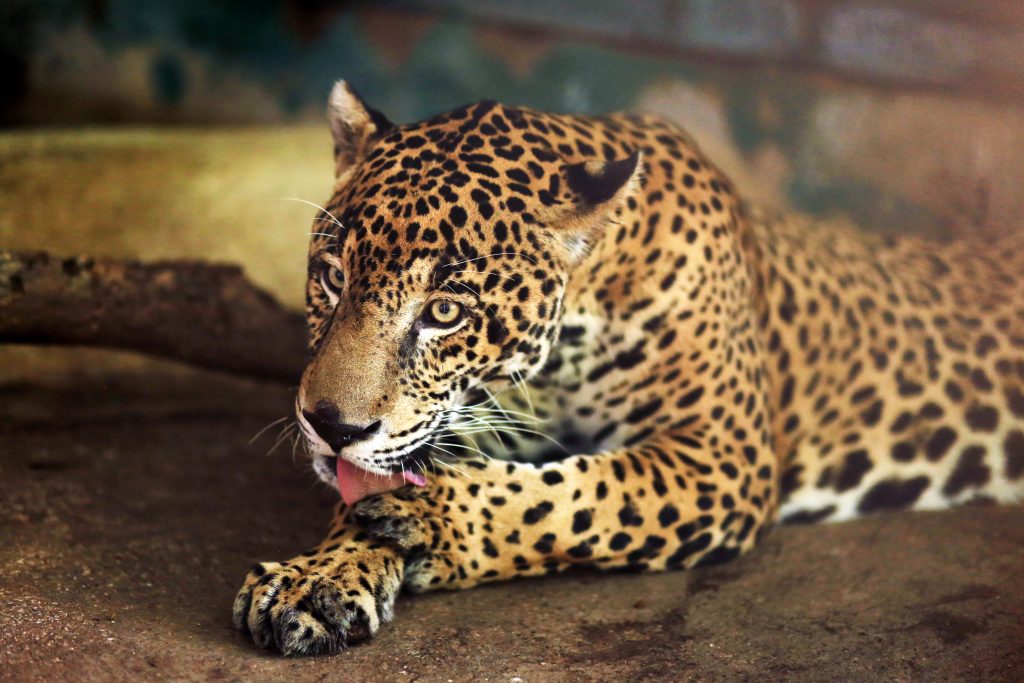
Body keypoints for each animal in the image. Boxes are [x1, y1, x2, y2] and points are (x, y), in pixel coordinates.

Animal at [233, 81, 1024, 655]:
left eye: (446, 312)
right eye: (333, 276)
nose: (329, 425)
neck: (558, 358)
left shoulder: (721, 457)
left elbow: (580, 496)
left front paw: (433, 517)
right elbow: (365, 496)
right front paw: (315, 578)